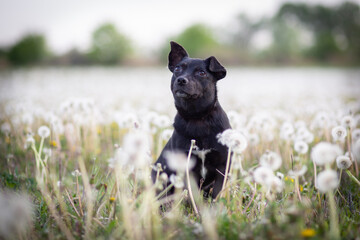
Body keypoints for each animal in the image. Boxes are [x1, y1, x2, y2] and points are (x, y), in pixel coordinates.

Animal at [151, 41, 231, 199]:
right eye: (177, 69)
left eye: (202, 73)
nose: (181, 80)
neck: (197, 116)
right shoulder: (186, 167)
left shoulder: (222, 166)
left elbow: (217, 193)